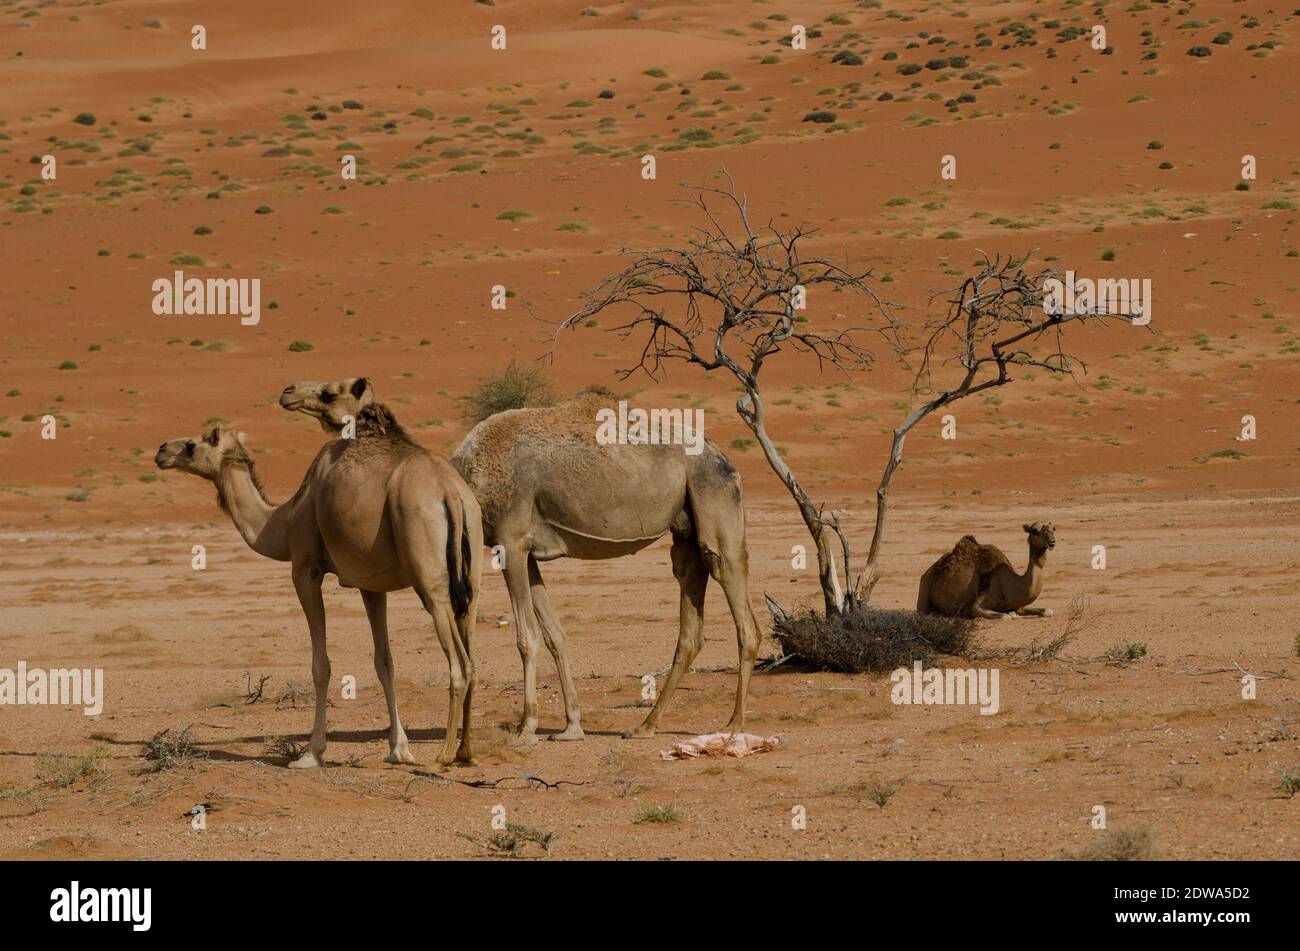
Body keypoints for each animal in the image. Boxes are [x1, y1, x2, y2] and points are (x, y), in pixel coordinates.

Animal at [152, 420, 478, 769]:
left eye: (192, 445)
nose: (161, 450)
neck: (284, 521)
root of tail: (449, 491)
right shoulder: (370, 583)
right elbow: (384, 662)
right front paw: (399, 750)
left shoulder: (305, 570)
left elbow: (320, 665)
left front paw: (311, 753)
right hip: (470, 572)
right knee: (472, 659)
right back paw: (465, 752)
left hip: (428, 577)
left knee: (459, 664)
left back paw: (443, 756)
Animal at [274, 379, 759, 743]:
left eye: (331, 392)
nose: (287, 392)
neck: (470, 474)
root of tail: (725, 459)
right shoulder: (529, 553)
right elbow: (555, 635)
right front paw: (571, 726)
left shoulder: (510, 541)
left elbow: (526, 637)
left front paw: (527, 726)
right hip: (685, 535)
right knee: (690, 625)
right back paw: (645, 725)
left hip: (715, 506)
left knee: (742, 614)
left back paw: (734, 724)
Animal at [915, 517, 1055, 621]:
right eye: (1034, 531)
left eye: (1053, 529)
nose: (1052, 541)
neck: (1009, 583)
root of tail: (928, 571)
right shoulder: (979, 604)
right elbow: (1005, 616)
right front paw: (1012, 615)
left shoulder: (1016, 604)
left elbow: (1047, 611)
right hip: (925, 588)